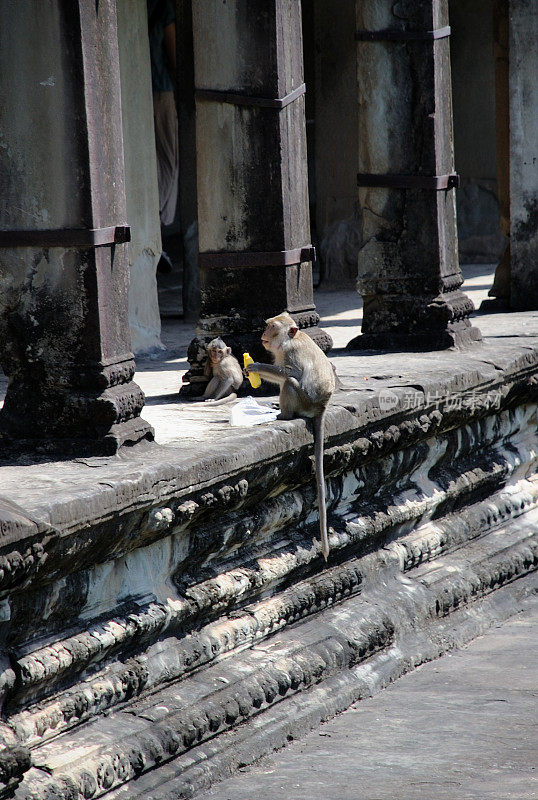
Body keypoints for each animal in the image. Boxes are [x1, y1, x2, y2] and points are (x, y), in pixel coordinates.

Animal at [244, 314, 336, 564]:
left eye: (272, 327)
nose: (263, 333)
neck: (288, 340)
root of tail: (322, 407)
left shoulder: (290, 352)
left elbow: (292, 374)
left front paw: (255, 366)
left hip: (305, 401)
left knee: (291, 384)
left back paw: (284, 415)